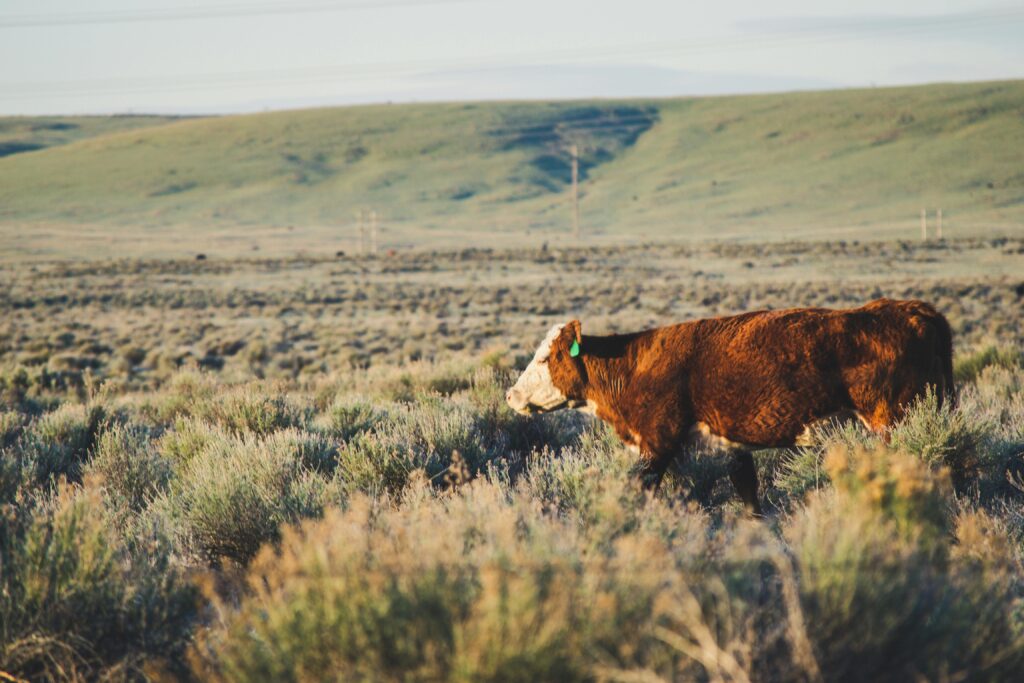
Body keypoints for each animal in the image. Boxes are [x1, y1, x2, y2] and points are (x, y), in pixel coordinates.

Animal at [505, 299, 954, 514]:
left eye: (546, 358)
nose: (510, 394)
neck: (633, 364)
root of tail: (915, 310)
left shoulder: (658, 441)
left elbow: (641, 487)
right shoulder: (729, 444)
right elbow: (748, 493)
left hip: (892, 419)